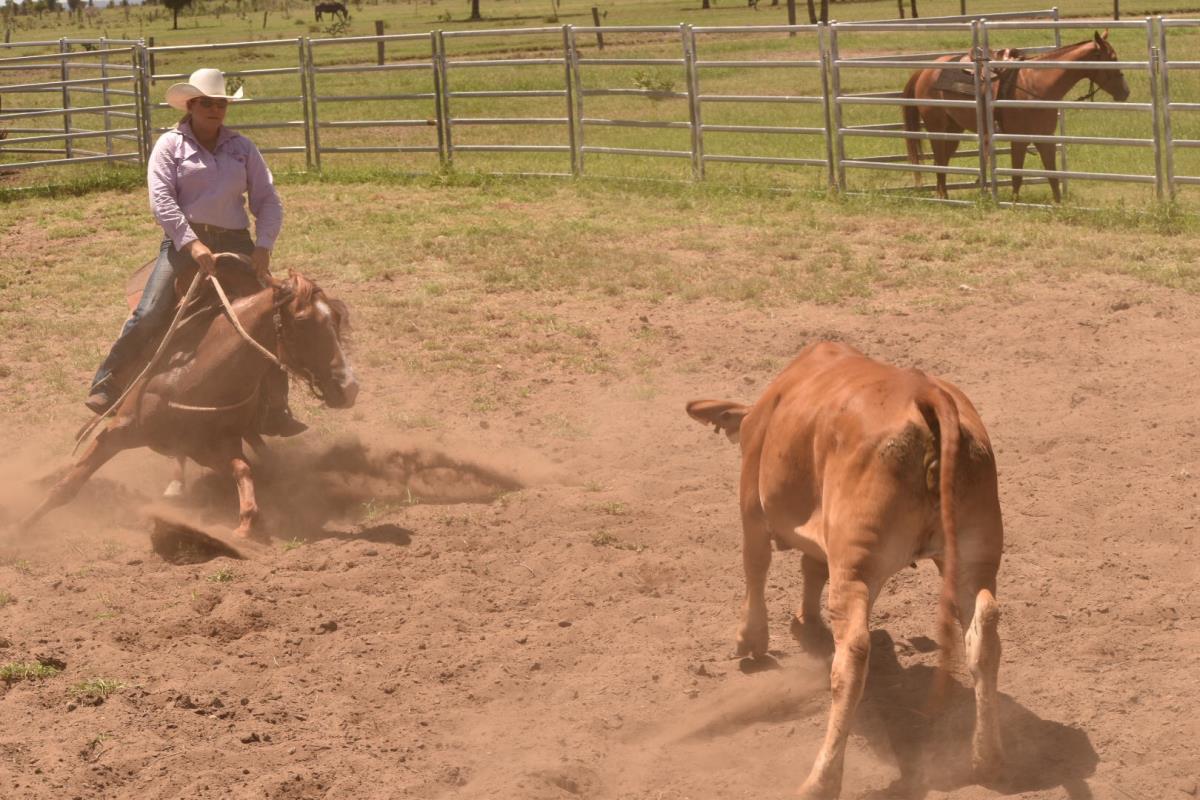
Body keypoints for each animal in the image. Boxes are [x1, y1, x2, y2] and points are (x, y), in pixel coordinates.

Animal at [19, 255, 358, 539]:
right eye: (301, 321)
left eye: (337, 317)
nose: (349, 388)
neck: (196, 373)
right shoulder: (118, 432)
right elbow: (68, 485)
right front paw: (20, 528)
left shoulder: (213, 444)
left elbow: (243, 470)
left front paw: (245, 525)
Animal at [903, 31, 1130, 202]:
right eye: (1112, 59)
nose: (1125, 92)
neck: (1036, 85)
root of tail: (924, 71)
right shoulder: (1019, 140)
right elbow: (1017, 176)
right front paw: (1013, 203)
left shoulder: (1045, 138)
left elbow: (1052, 174)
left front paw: (1058, 205)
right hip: (937, 128)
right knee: (939, 161)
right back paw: (943, 197)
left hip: (953, 130)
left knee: (943, 160)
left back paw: (945, 196)